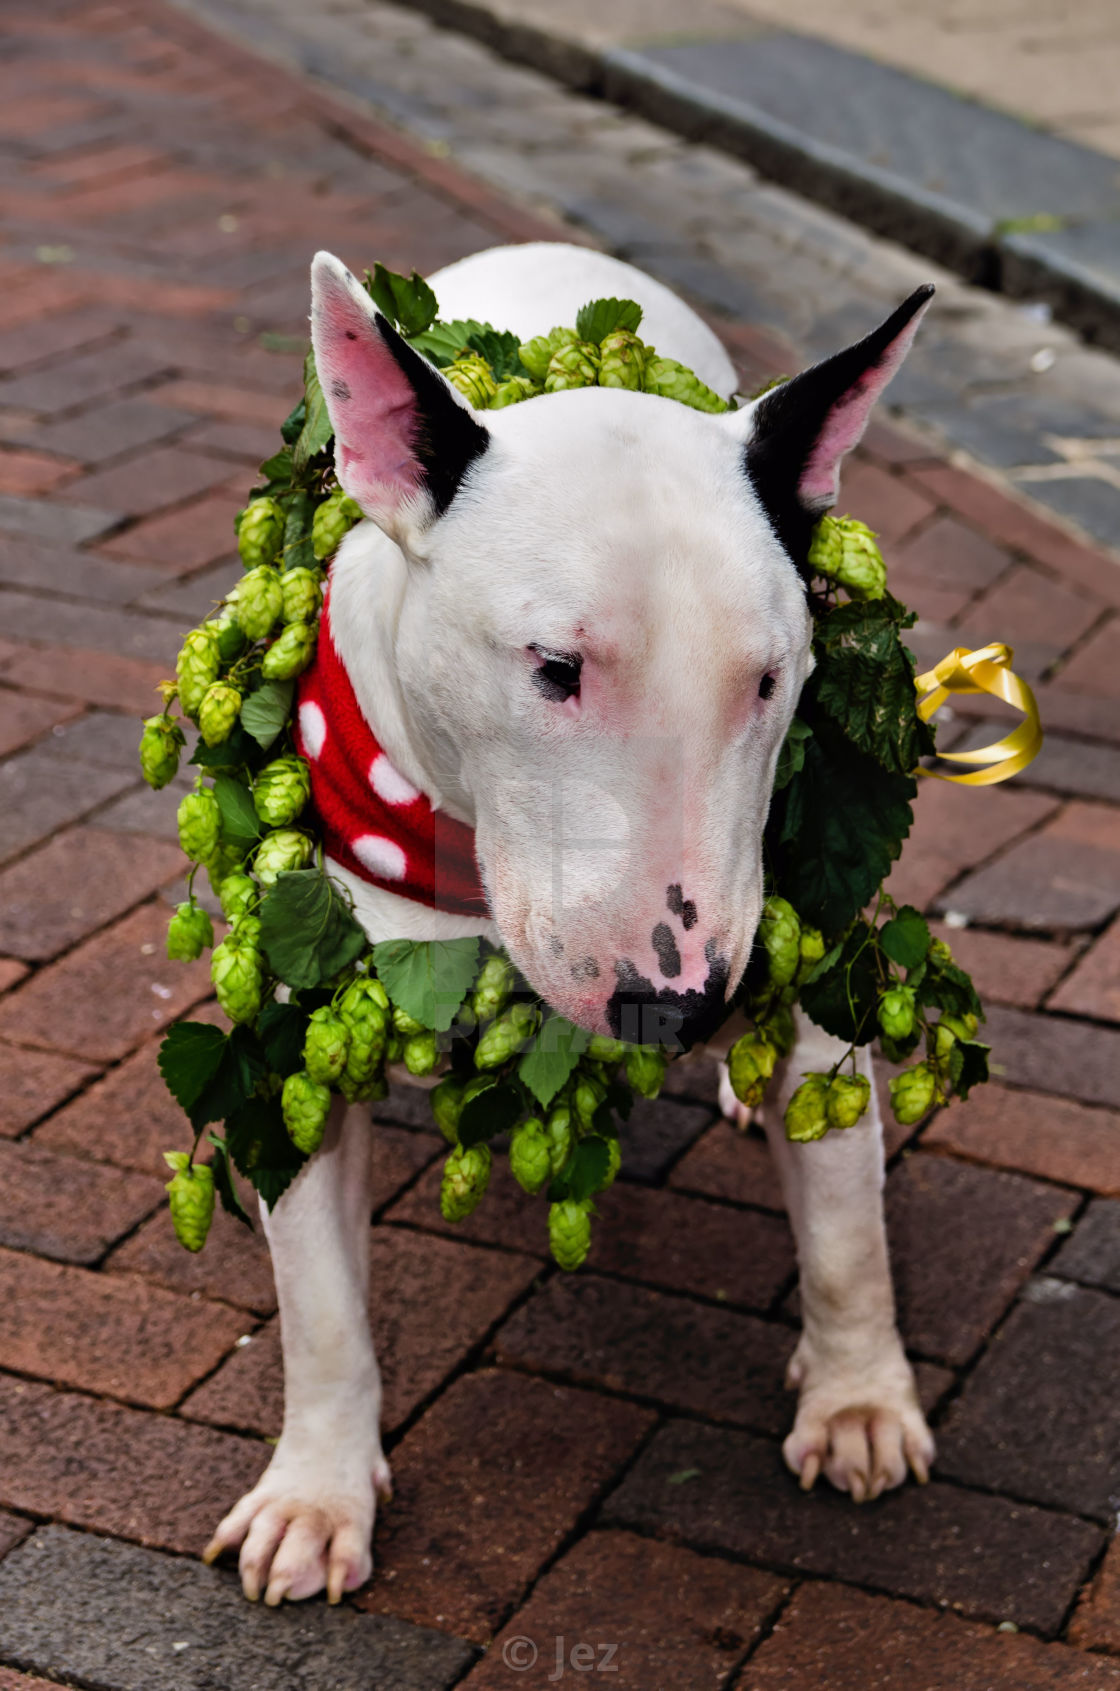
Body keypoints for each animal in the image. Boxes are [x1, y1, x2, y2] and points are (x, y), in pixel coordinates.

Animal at [202, 238, 940, 1596]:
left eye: (772, 678)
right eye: (553, 666)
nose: (676, 1003)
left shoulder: (798, 955)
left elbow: (845, 1231)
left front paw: (859, 1399)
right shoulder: (296, 1035)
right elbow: (320, 1304)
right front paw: (315, 1496)